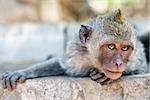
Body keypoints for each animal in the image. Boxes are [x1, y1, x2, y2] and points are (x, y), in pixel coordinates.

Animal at [0, 9, 148, 90]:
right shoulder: (75, 56)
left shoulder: (135, 59)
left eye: (125, 48)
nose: (119, 63)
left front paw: (103, 75)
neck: (93, 59)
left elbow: (143, 68)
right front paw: (23, 72)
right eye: (111, 46)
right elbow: (60, 64)